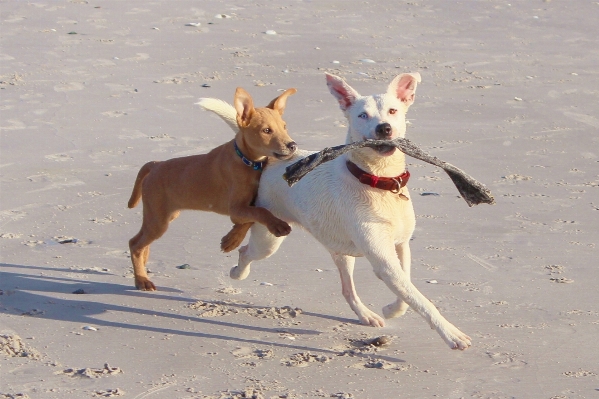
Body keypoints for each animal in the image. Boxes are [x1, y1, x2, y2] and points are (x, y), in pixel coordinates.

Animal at [129, 87, 302, 292]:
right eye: (266, 130)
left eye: (284, 126)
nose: (292, 145)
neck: (246, 161)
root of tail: (156, 164)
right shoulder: (235, 208)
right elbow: (260, 212)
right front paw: (277, 225)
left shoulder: (245, 206)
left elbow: (250, 218)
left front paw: (232, 239)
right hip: (158, 219)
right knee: (135, 244)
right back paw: (142, 280)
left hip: (163, 216)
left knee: (142, 242)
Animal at [204, 74, 472, 350]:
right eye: (362, 115)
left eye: (393, 111)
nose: (384, 129)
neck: (379, 182)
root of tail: (269, 160)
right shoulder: (384, 261)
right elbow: (419, 299)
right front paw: (452, 334)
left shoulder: (401, 245)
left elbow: (406, 292)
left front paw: (391, 309)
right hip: (269, 237)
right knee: (246, 251)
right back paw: (238, 272)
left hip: (341, 251)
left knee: (347, 289)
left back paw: (366, 315)